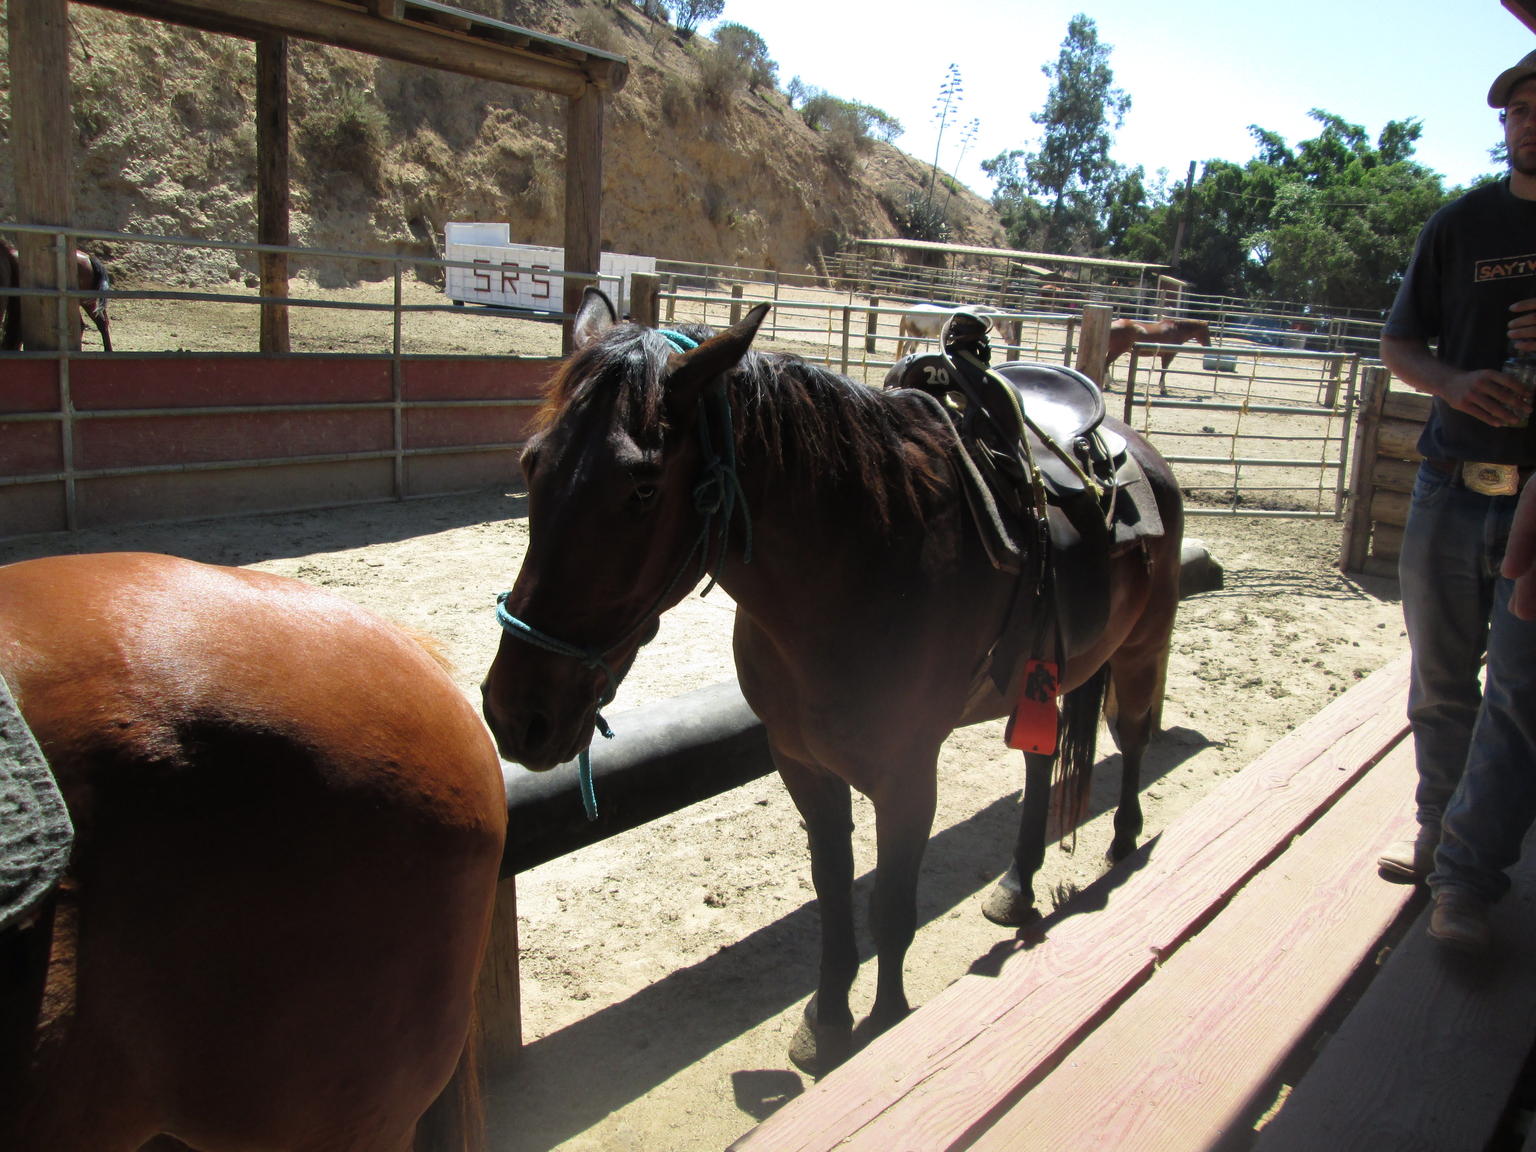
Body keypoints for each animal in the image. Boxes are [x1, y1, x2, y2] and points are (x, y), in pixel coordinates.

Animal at [481, 289, 1184, 1075]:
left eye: (641, 487)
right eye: (532, 464)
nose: (515, 714)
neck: (866, 558)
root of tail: (1138, 449)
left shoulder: (907, 774)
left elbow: (891, 907)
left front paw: (885, 1023)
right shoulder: (803, 763)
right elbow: (833, 886)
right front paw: (827, 1018)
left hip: (1143, 647)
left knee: (1134, 734)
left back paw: (1122, 848)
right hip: (1047, 678)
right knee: (1041, 760)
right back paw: (1017, 883)